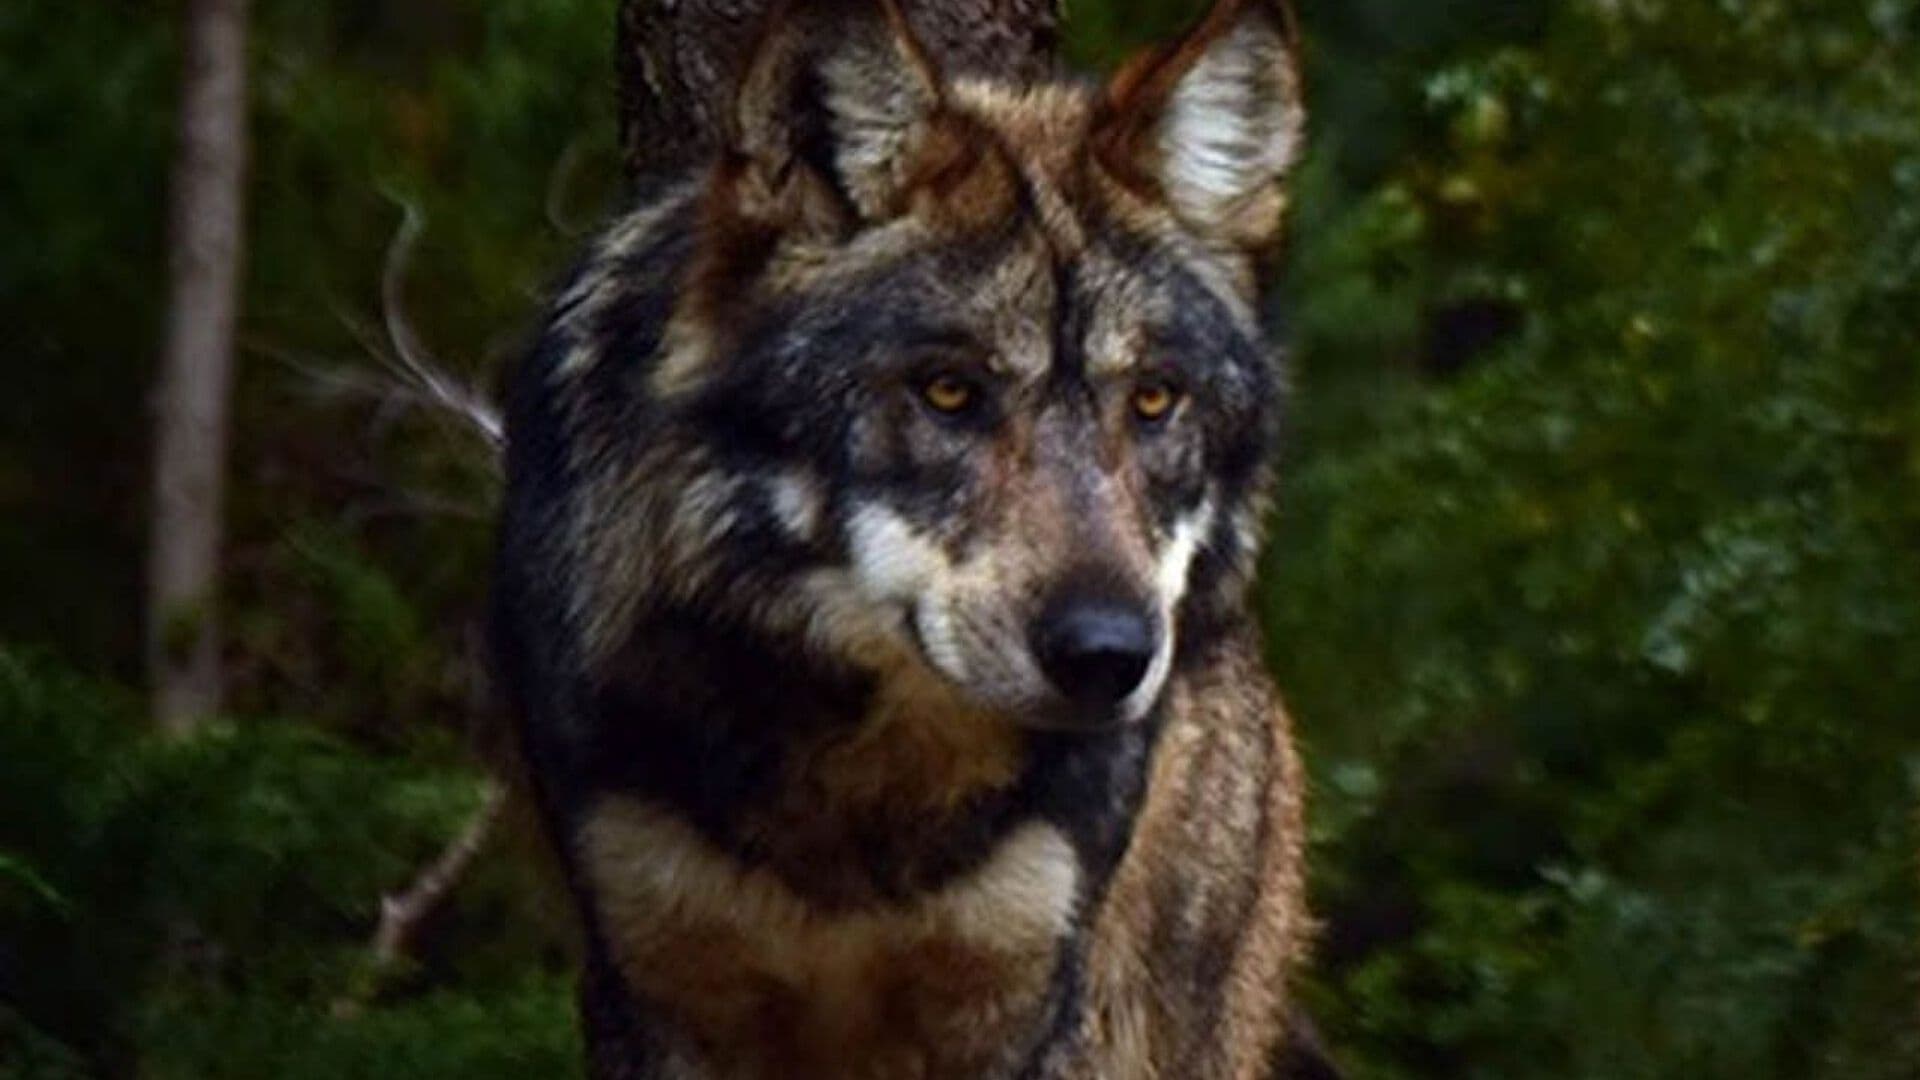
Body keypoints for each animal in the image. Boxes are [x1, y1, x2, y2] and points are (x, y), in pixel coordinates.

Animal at [492, 0, 1315, 1075]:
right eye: (950, 391)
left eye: (1153, 400)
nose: (1108, 656)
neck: (866, 786)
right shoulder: (660, 991)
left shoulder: (1026, 1001)